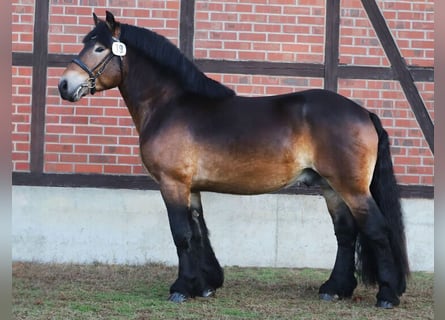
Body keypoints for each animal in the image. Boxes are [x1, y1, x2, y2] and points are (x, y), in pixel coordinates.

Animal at [59, 11, 410, 308]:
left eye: (100, 48)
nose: (65, 85)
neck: (169, 105)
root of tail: (363, 112)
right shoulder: (192, 187)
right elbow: (199, 231)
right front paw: (205, 284)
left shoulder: (172, 183)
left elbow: (181, 234)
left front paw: (181, 288)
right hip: (330, 187)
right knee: (346, 233)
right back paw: (335, 288)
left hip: (352, 188)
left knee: (377, 230)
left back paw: (387, 294)